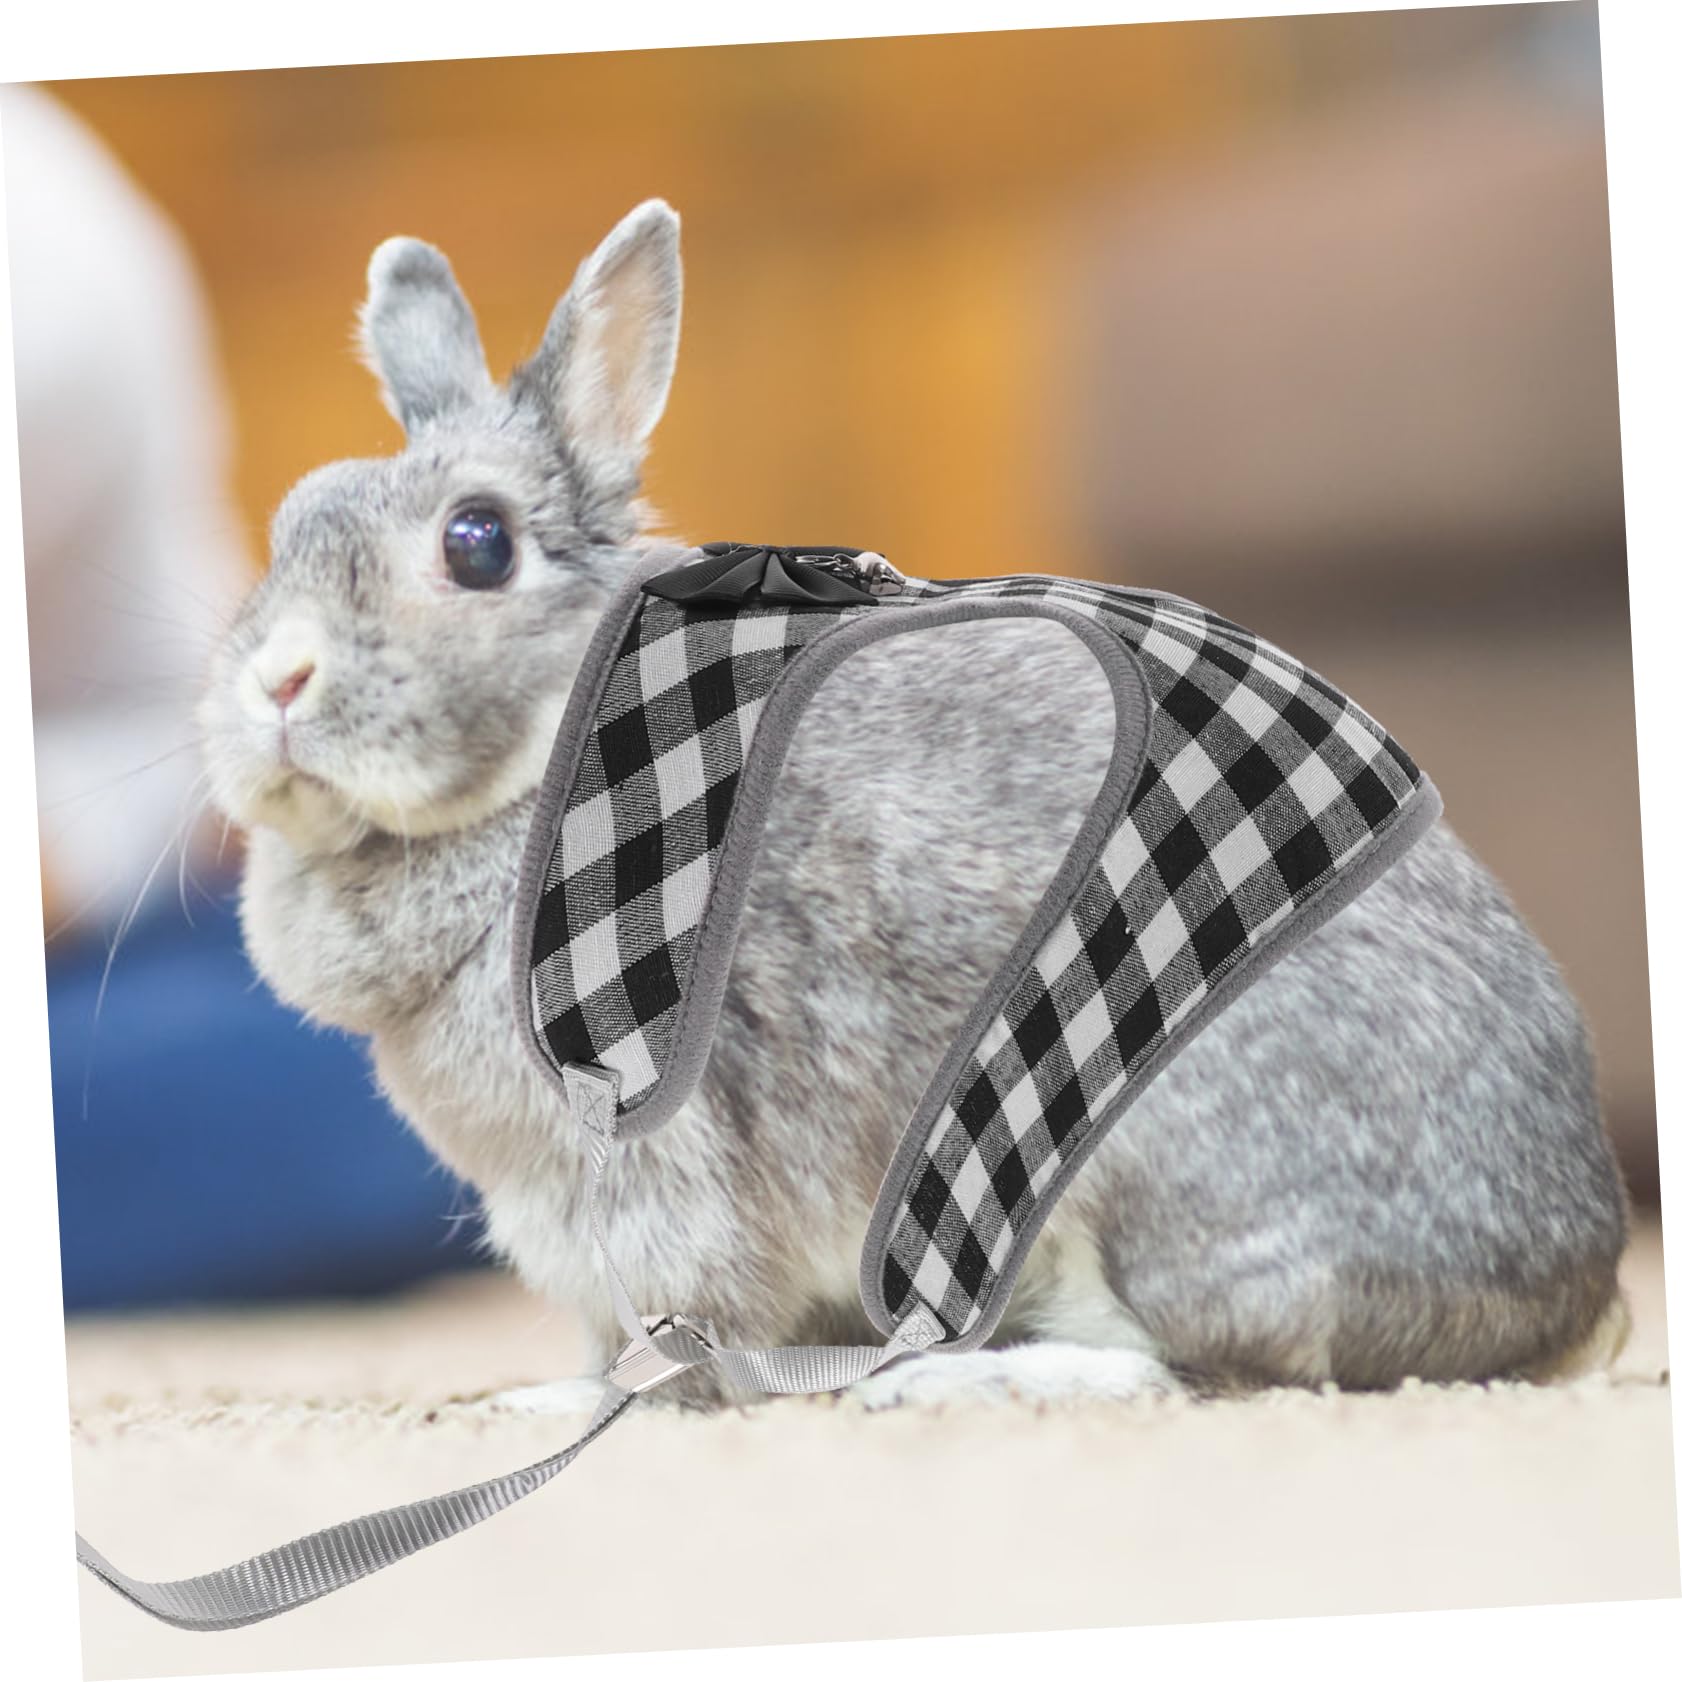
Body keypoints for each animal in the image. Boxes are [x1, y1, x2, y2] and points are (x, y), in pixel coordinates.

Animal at [199, 199, 1630, 1413]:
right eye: (289, 524)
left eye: (477, 543)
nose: (273, 683)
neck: (570, 740)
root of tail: (1570, 1281)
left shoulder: (651, 1173)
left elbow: (663, 1340)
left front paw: (552, 1405)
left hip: (1139, 1176)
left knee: (1200, 1368)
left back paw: (964, 1378)